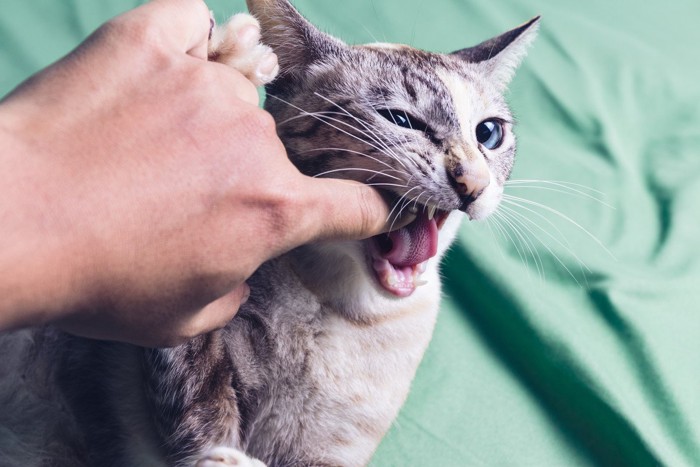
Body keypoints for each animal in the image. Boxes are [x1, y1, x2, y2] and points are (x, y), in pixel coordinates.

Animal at [0, 0, 540, 467]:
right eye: (401, 120)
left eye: (488, 134)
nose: (473, 184)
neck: (346, 308)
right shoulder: (173, 379)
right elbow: (201, 408)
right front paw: (229, 58)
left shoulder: (326, 454)